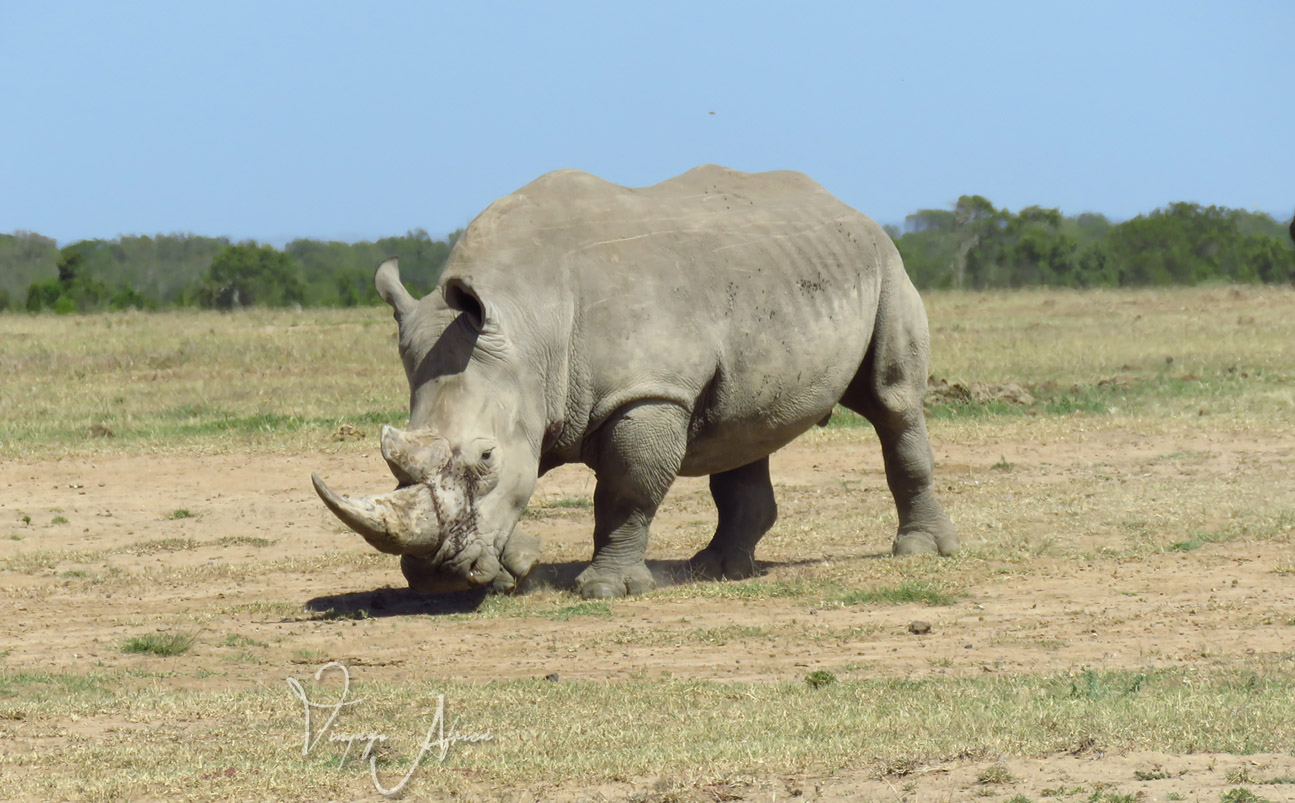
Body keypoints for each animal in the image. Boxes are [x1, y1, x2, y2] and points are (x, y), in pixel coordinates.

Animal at [312, 165, 958, 598]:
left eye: (484, 458)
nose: (435, 577)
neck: (528, 324)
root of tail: (850, 207)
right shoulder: (534, 396)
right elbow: (532, 484)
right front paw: (517, 565)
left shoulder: (648, 391)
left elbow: (625, 489)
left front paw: (604, 588)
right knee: (745, 426)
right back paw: (715, 570)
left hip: (887, 268)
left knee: (893, 404)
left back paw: (920, 552)